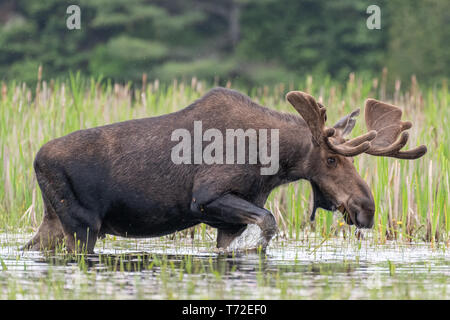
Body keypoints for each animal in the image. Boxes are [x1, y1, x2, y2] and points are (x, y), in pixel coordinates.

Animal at [22, 87, 428, 252]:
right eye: (331, 159)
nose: (367, 208)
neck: (272, 163)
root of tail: (36, 159)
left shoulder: (228, 222)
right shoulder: (206, 198)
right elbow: (269, 222)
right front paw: (258, 251)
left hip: (55, 221)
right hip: (83, 225)